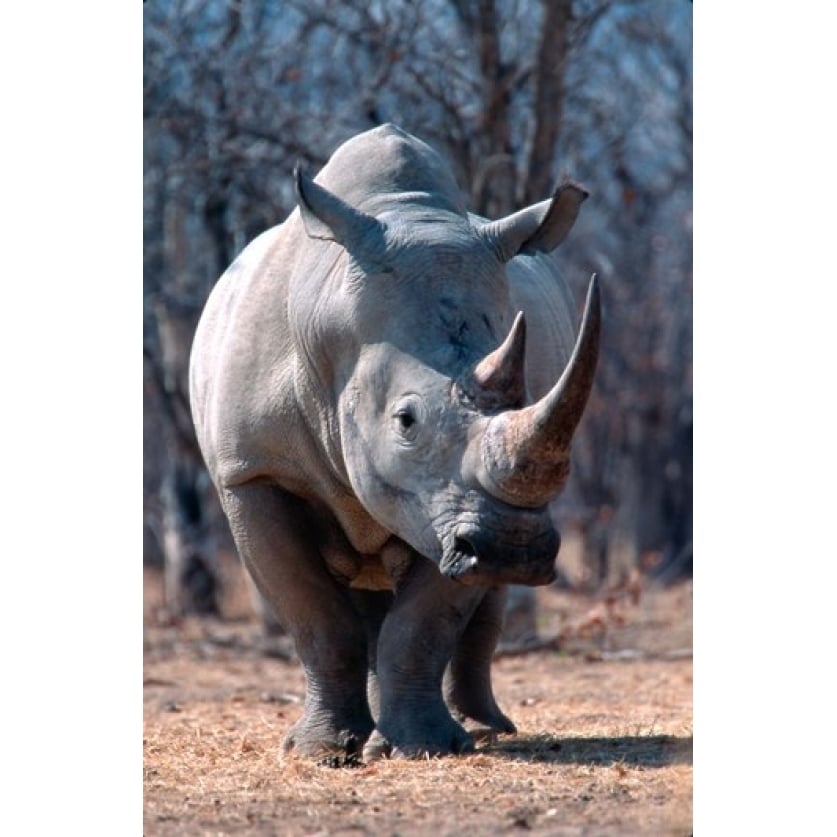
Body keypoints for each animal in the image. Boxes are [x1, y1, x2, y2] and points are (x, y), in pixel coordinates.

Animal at [189, 122, 596, 756]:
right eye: (406, 421)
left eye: (526, 397)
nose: (513, 548)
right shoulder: (252, 470)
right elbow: (313, 614)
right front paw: (321, 753)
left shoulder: (447, 502)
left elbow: (424, 623)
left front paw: (424, 748)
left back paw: (476, 728)